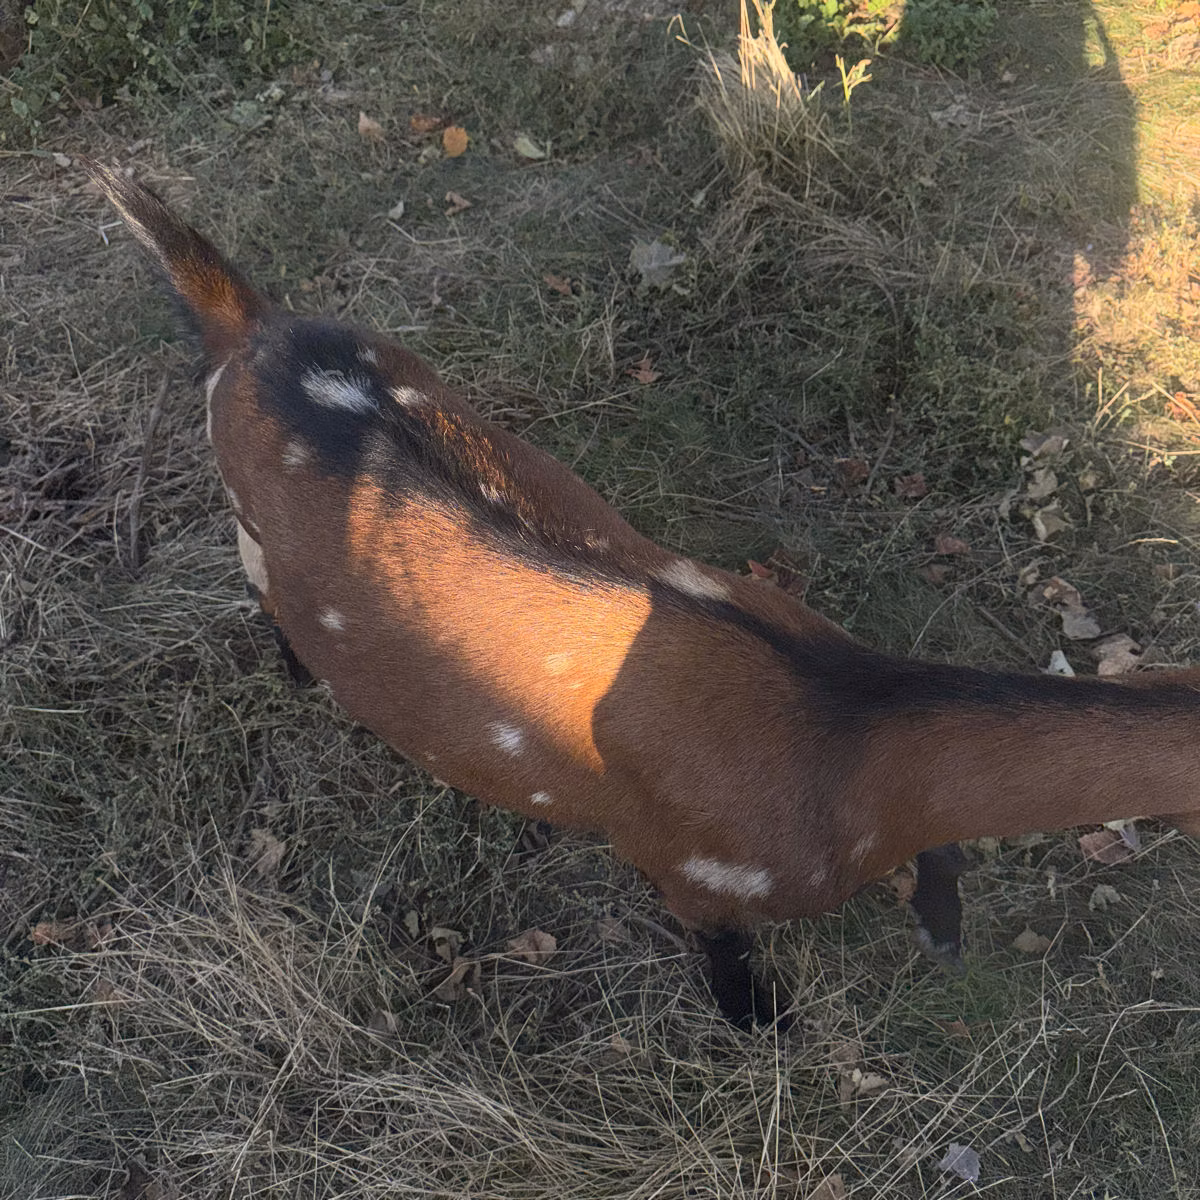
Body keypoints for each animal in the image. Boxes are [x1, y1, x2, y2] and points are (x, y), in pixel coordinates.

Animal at [82, 158, 1200, 1029]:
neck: (852, 747)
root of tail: (249, 329)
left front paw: (941, 928)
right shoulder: (682, 865)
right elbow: (722, 950)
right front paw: (761, 1020)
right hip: (248, 518)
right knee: (258, 583)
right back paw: (299, 672)